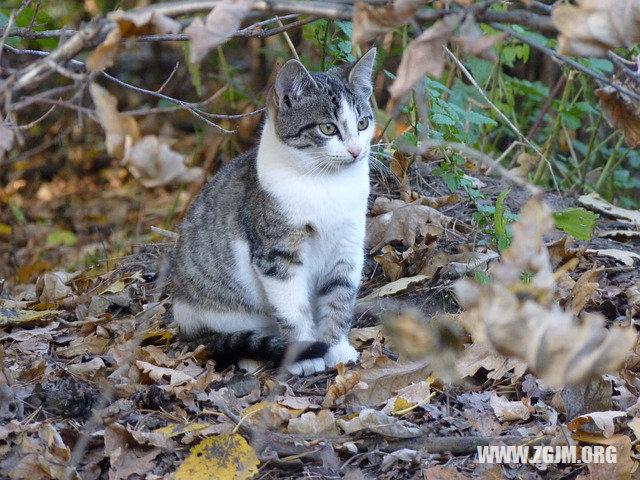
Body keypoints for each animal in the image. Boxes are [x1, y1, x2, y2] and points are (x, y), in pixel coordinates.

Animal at [172, 49, 378, 378]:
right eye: (328, 128)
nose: (356, 151)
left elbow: (339, 297)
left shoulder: (347, 247)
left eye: (362, 123)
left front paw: (336, 347)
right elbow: (293, 309)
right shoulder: (277, 256)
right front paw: (305, 356)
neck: (326, 185)